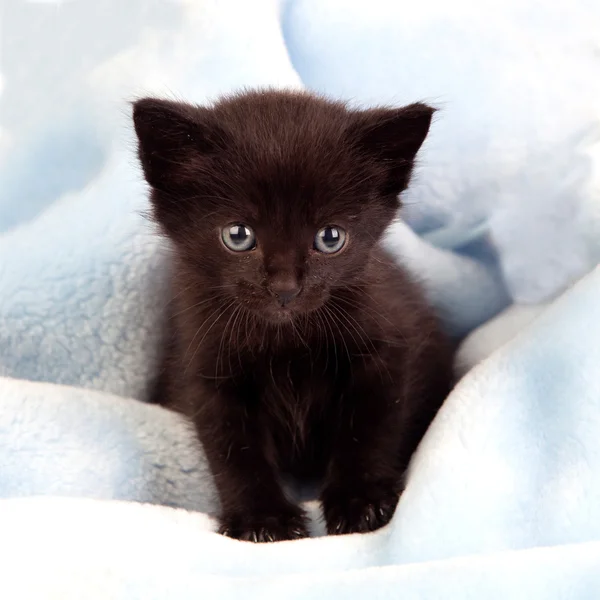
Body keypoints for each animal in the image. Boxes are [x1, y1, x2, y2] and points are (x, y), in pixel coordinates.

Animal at [131, 89, 450, 544]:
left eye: (330, 238)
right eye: (238, 235)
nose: (285, 288)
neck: (286, 341)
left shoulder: (388, 347)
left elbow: (372, 428)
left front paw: (361, 501)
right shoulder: (206, 369)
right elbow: (232, 450)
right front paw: (261, 518)